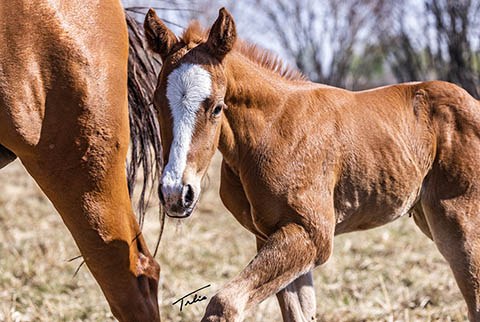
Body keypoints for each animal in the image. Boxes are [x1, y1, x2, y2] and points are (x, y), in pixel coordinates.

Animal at [144, 7, 480, 322]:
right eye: (155, 104)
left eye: (216, 107)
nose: (175, 193)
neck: (269, 132)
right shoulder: (271, 236)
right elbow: (298, 313)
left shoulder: (313, 236)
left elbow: (224, 303)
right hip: (427, 216)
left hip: (459, 225)